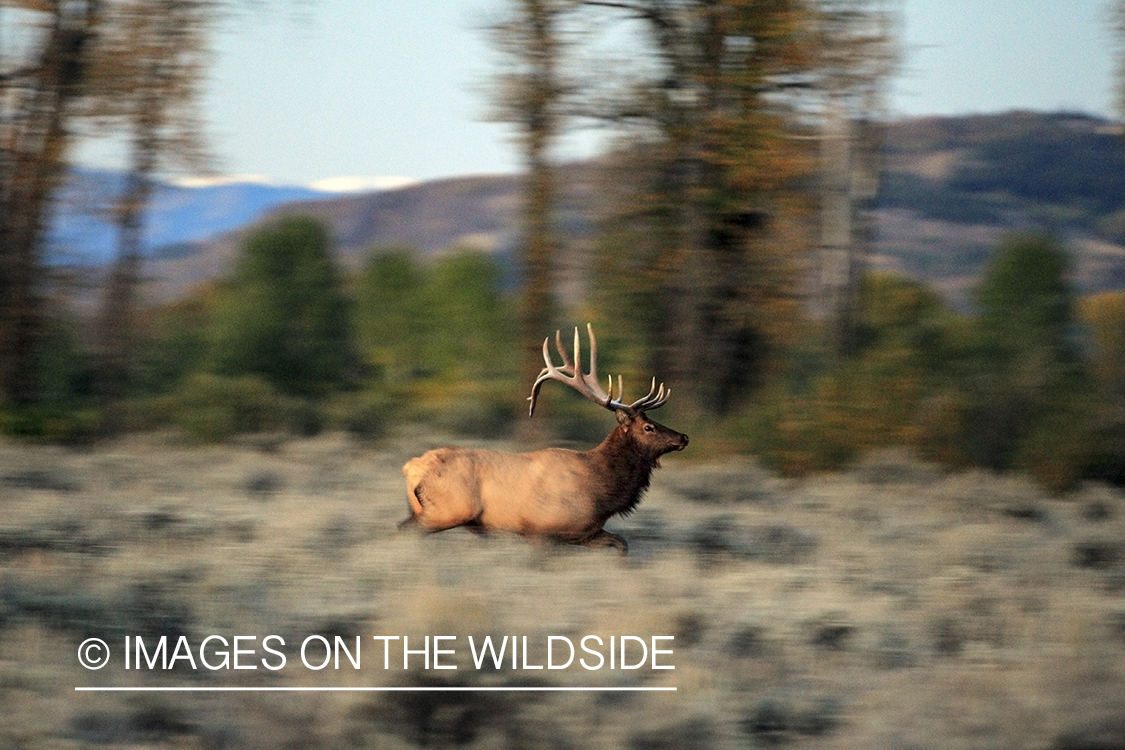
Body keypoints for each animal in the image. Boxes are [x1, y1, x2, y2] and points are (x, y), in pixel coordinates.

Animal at [405, 326, 684, 555]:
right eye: (648, 427)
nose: (683, 437)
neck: (602, 490)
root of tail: (411, 468)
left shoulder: (586, 533)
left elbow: (622, 544)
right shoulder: (542, 529)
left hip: (424, 510)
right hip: (447, 510)